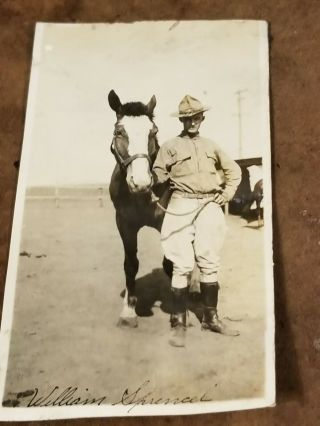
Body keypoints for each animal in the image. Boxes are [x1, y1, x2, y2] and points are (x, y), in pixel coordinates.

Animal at [107, 90, 172, 326]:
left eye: (154, 132)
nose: (141, 182)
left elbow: (170, 263)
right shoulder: (124, 224)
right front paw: (128, 310)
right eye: (118, 131)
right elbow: (130, 264)